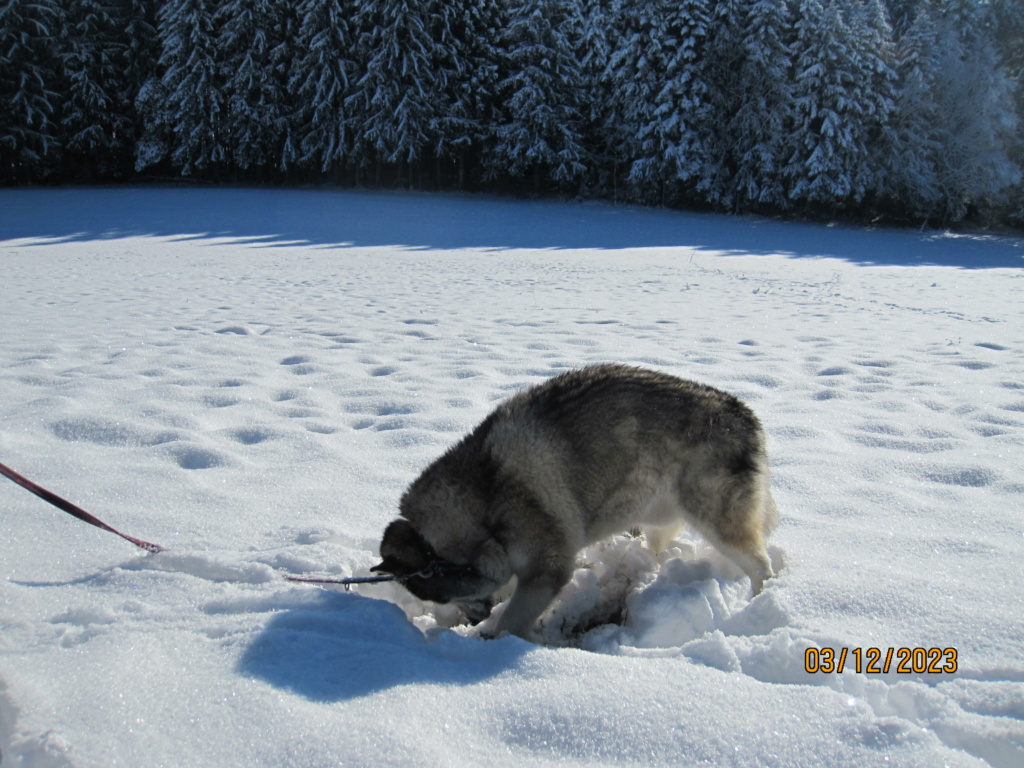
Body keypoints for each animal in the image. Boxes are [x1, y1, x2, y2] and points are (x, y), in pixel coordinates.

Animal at [372, 364, 778, 638]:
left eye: (440, 599)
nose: (472, 620)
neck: (482, 506)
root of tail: (747, 414)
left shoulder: (547, 570)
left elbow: (511, 621)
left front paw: (494, 640)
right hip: (660, 516)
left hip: (718, 522)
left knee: (762, 567)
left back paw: (760, 605)